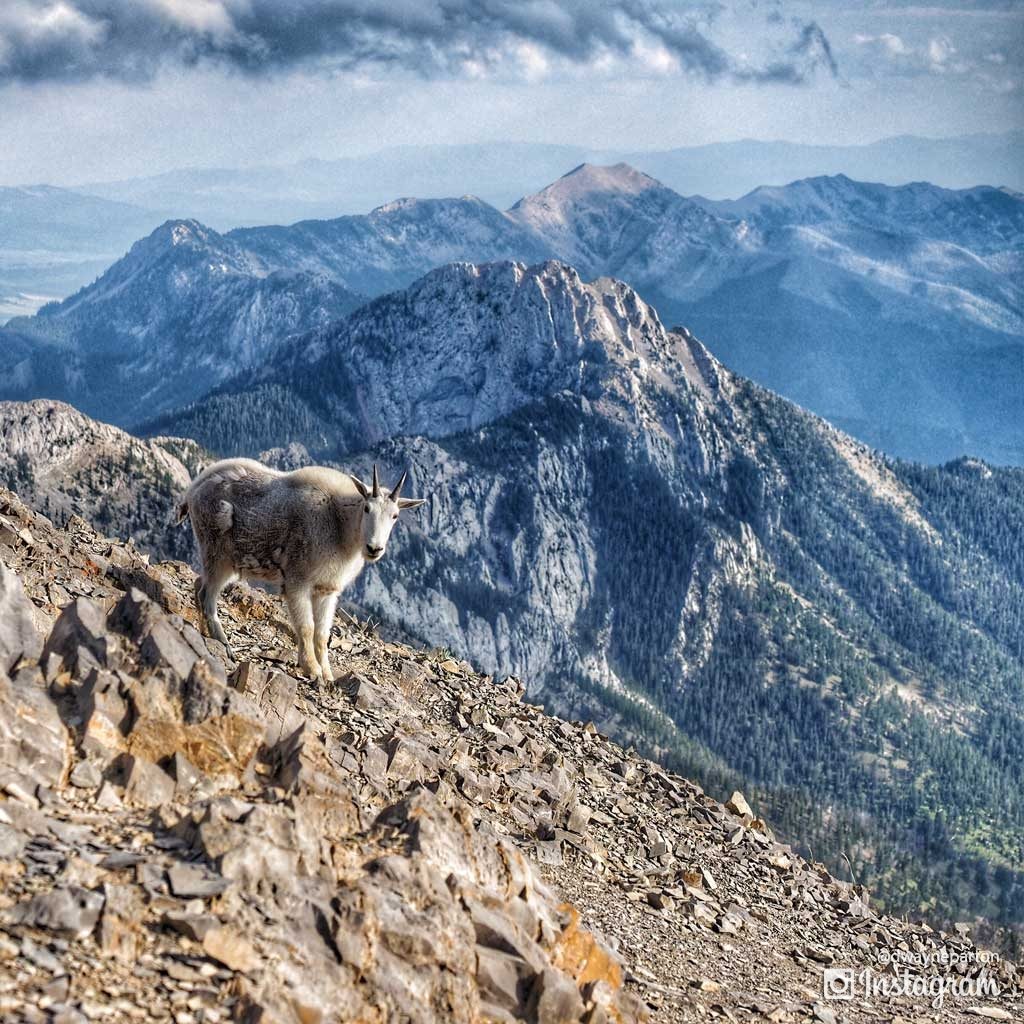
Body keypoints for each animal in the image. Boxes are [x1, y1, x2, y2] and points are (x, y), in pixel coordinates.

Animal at [178, 460, 425, 684]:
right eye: (367, 508)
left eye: (395, 515)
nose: (374, 548)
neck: (340, 525)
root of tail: (193, 488)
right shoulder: (298, 581)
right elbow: (306, 627)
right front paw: (312, 670)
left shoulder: (327, 590)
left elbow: (322, 634)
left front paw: (328, 675)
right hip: (217, 551)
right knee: (207, 594)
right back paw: (223, 643)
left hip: (230, 561)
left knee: (199, 585)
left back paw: (205, 631)